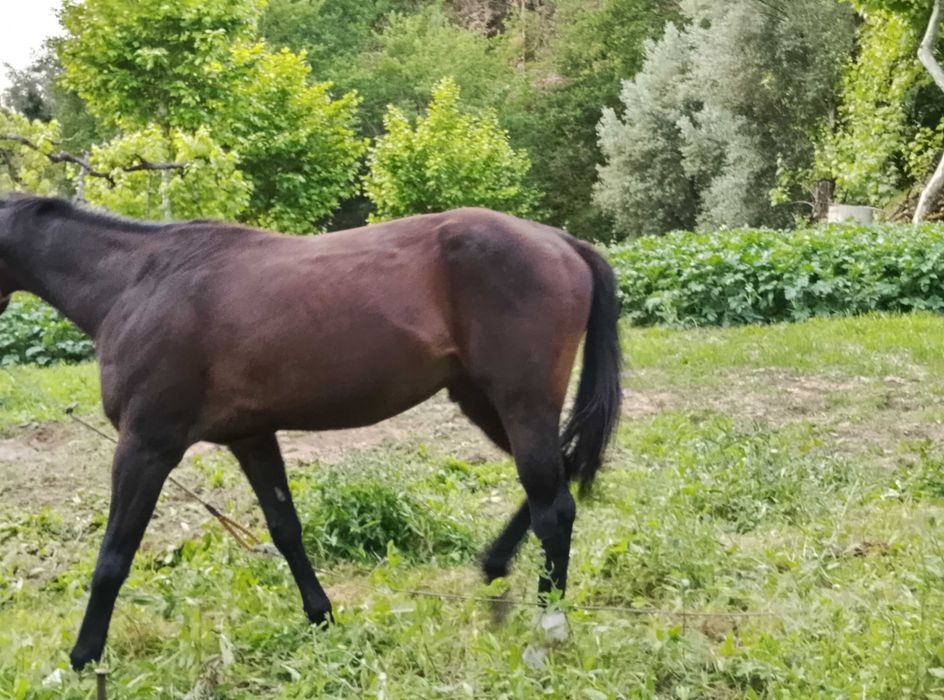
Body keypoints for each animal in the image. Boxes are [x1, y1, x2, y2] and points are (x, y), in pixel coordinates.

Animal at [0, 195, 621, 671]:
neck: (137, 282)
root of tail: (562, 242)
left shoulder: (146, 446)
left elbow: (114, 555)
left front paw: (83, 656)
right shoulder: (251, 437)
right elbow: (286, 530)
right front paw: (321, 617)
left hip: (520, 403)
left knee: (554, 508)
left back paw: (547, 627)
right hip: (485, 402)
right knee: (556, 483)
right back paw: (495, 572)